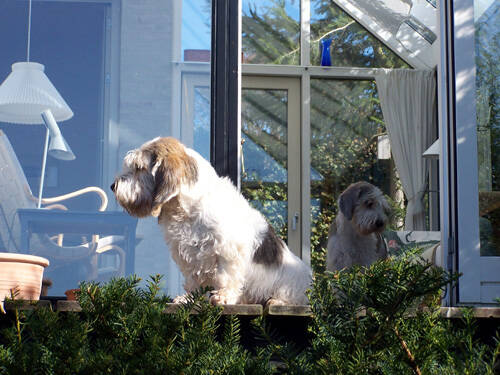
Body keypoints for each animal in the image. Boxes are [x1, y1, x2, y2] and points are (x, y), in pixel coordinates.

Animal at [111, 137, 310, 306]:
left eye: (139, 167)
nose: (113, 186)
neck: (188, 210)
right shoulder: (188, 254)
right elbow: (192, 280)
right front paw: (188, 299)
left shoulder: (227, 251)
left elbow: (226, 276)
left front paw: (223, 297)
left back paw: (276, 301)